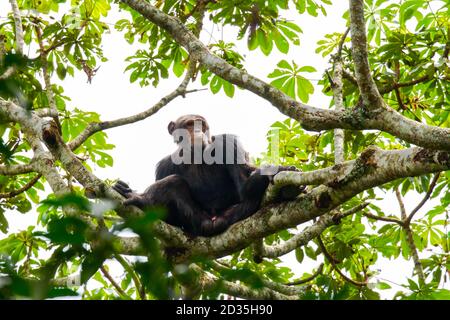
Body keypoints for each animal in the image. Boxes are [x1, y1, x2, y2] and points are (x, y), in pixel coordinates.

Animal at [112, 114, 304, 236]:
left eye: (202, 125)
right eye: (190, 124)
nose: (198, 131)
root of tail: (212, 222)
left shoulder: (228, 143)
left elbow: (243, 182)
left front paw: (278, 170)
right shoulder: (164, 166)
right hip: (196, 220)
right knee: (173, 182)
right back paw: (141, 199)